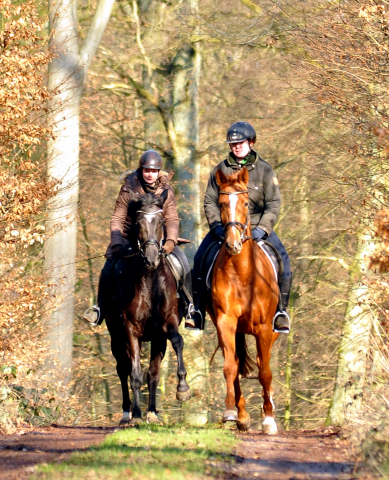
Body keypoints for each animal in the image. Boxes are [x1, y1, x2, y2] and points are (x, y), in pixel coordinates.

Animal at [209, 169, 278, 436]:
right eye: (220, 203)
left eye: (247, 203)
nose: (233, 243)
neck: (243, 273)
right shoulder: (225, 322)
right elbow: (230, 367)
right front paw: (230, 412)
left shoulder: (265, 329)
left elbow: (265, 372)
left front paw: (269, 420)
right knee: (237, 364)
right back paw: (242, 416)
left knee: (262, 365)